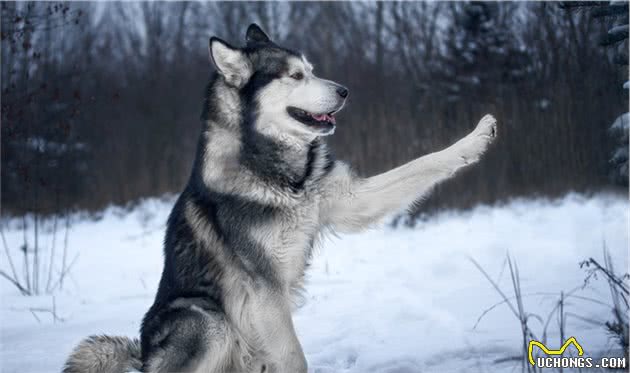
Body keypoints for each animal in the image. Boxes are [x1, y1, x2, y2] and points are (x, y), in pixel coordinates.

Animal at [64, 23, 498, 372]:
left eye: (313, 70)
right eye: (295, 75)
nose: (344, 91)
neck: (283, 176)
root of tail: (142, 356)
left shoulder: (348, 199)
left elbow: (424, 163)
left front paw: (477, 138)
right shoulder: (264, 290)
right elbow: (294, 357)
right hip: (207, 318)